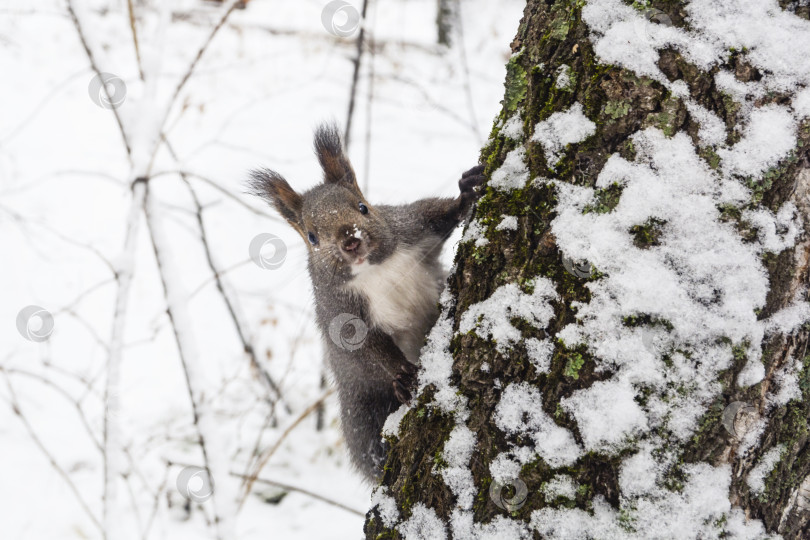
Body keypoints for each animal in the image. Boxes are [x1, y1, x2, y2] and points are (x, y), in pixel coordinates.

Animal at [249, 123, 482, 480]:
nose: (351, 240)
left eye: (363, 207)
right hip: (361, 406)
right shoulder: (338, 308)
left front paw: (465, 193)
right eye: (312, 237)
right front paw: (404, 375)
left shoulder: (409, 226)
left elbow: (437, 216)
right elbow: (363, 345)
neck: (374, 268)